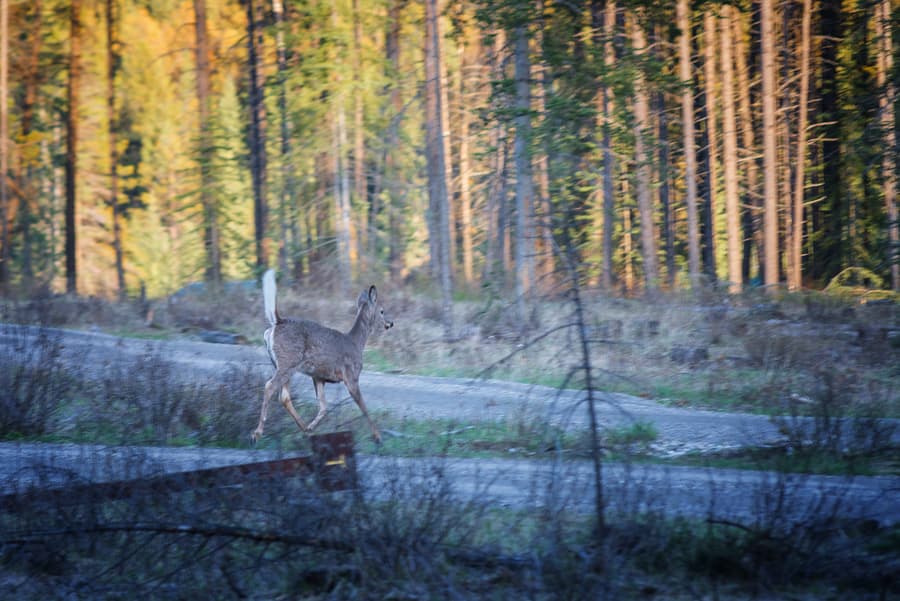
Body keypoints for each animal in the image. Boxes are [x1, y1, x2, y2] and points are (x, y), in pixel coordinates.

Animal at [253, 270, 394, 442]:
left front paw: (312, 426)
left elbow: (323, 407)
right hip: (288, 362)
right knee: (269, 386)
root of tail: (277, 323)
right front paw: (378, 436)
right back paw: (257, 433)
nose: (390, 323)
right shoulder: (351, 375)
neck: (356, 343)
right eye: (382, 311)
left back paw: (305, 429)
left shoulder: (318, 377)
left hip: (282, 365)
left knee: (284, 396)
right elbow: (363, 407)